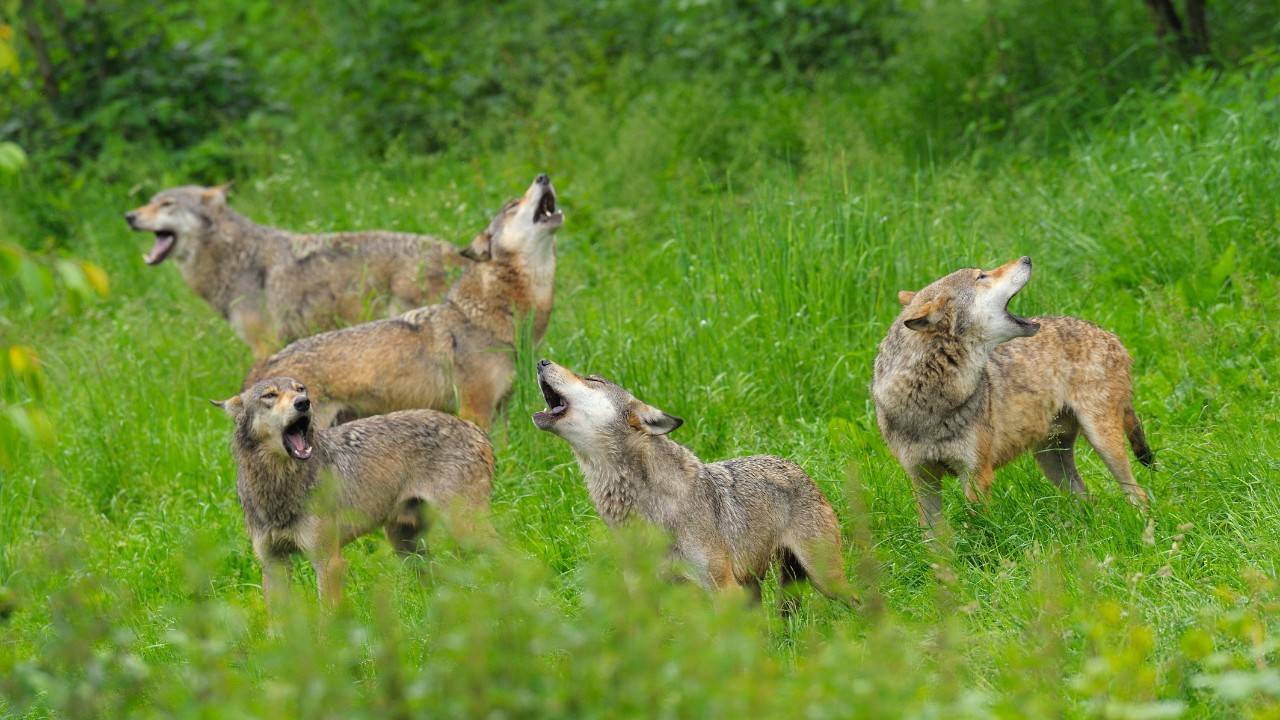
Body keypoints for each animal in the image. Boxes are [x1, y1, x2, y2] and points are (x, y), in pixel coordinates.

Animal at [212, 371, 491, 607]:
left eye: (300, 389)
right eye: (269, 396)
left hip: (464, 531)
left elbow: (328, 620)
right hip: (406, 544)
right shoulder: (274, 564)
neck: (278, 485)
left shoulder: (328, 561)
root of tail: (475, 429)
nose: (304, 403)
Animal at [529, 358, 860, 604]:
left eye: (592, 379)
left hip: (824, 578)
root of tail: (796, 466)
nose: (541, 360)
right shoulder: (646, 595)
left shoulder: (722, 589)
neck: (648, 507)